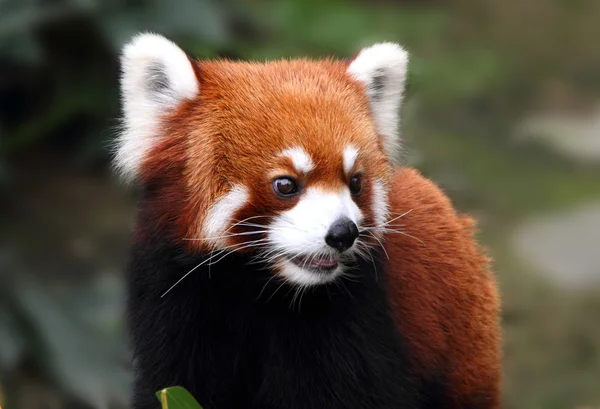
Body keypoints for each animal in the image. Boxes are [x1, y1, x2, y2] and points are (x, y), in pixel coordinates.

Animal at [117, 32, 502, 408]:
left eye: (355, 182)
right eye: (285, 184)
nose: (344, 233)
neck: (262, 290)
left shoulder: (355, 321)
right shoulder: (177, 307)